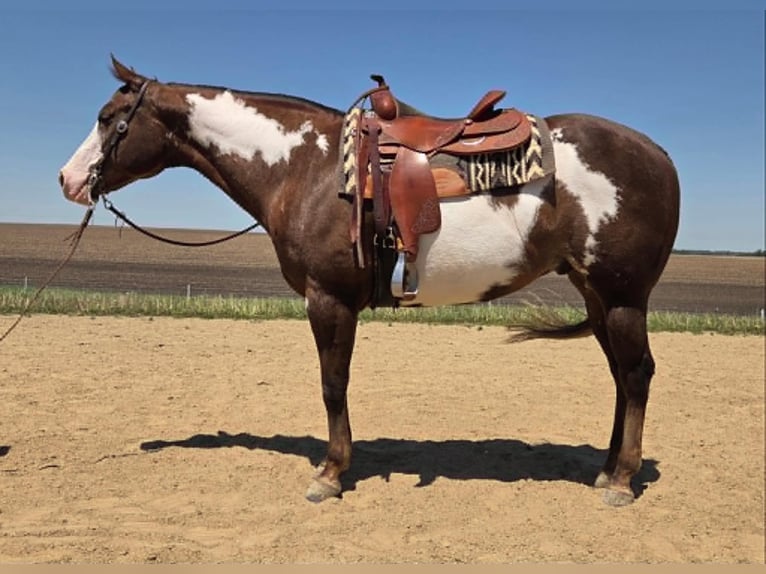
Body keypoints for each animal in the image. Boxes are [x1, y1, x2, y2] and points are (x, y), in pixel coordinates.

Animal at [58, 57, 680, 507]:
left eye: (110, 119)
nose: (68, 179)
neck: (304, 167)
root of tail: (659, 154)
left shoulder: (328, 300)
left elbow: (333, 384)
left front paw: (330, 473)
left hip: (622, 297)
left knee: (638, 376)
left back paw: (621, 481)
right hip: (597, 297)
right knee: (622, 378)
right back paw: (606, 470)